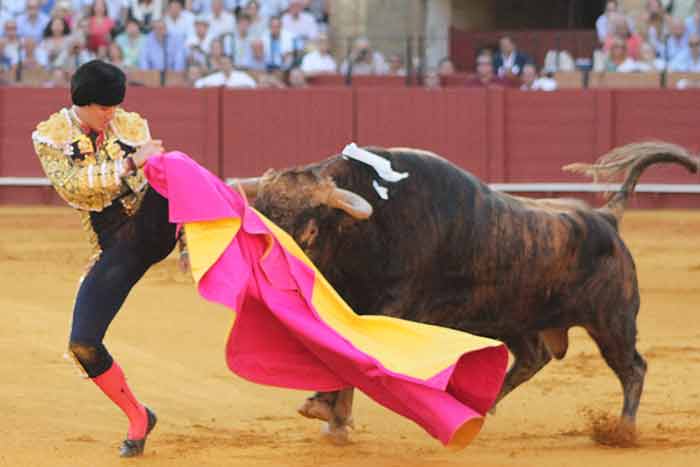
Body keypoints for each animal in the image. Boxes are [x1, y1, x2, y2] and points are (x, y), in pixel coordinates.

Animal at [234, 142, 696, 442]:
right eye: (260, 215)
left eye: (309, 230)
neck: (373, 223)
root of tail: (606, 216)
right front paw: (333, 417)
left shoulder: (391, 308)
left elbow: (355, 355)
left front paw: (328, 412)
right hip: (515, 319)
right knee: (533, 358)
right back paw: (478, 410)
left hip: (612, 322)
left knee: (633, 368)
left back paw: (623, 430)